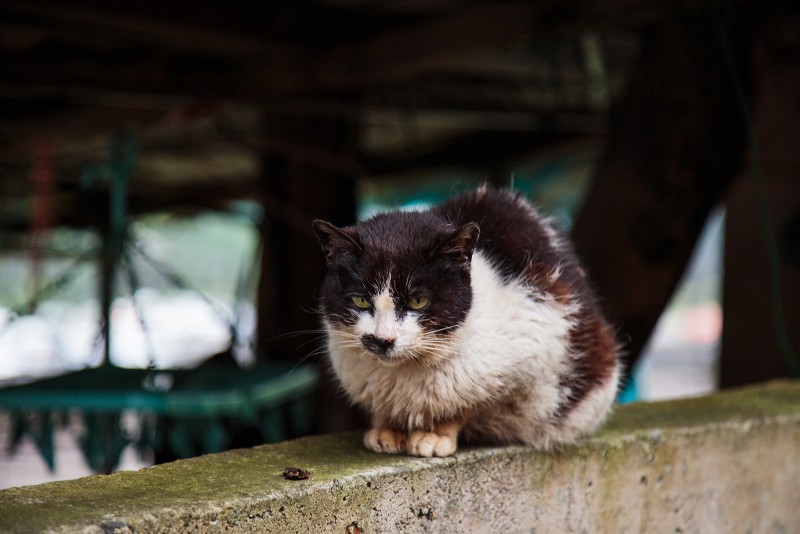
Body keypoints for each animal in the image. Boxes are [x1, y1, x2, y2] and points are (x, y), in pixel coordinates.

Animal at [310, 186, 620, 458]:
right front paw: (387, 430)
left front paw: (434, 434)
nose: (383, 339)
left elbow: (466, 405)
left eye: (417, 301)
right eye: (360, 300)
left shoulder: (535, 340)